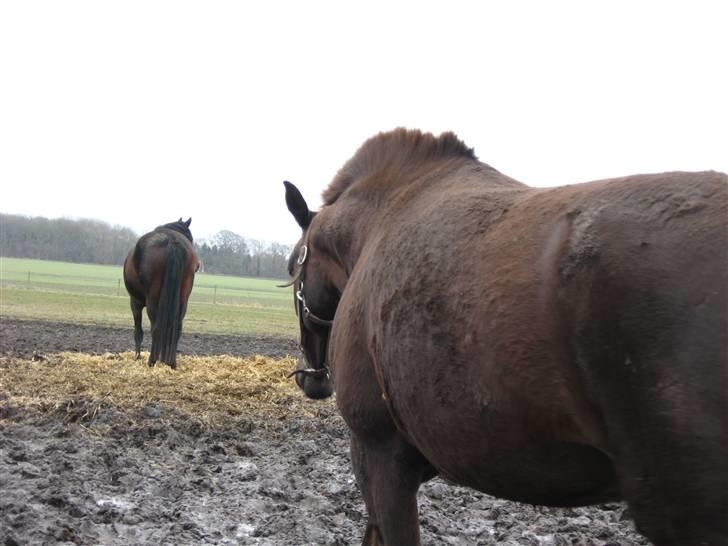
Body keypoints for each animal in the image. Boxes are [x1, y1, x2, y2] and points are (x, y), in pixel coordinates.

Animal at [123, 216, 199, 366]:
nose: (199, 265)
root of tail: (172, 241)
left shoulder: (135, 303)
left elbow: (138, 332)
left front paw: (137, 357)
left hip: (152, 301)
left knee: (156, 328)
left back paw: (152, 361)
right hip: (183, 299)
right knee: (177, 329)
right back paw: (171, 363)